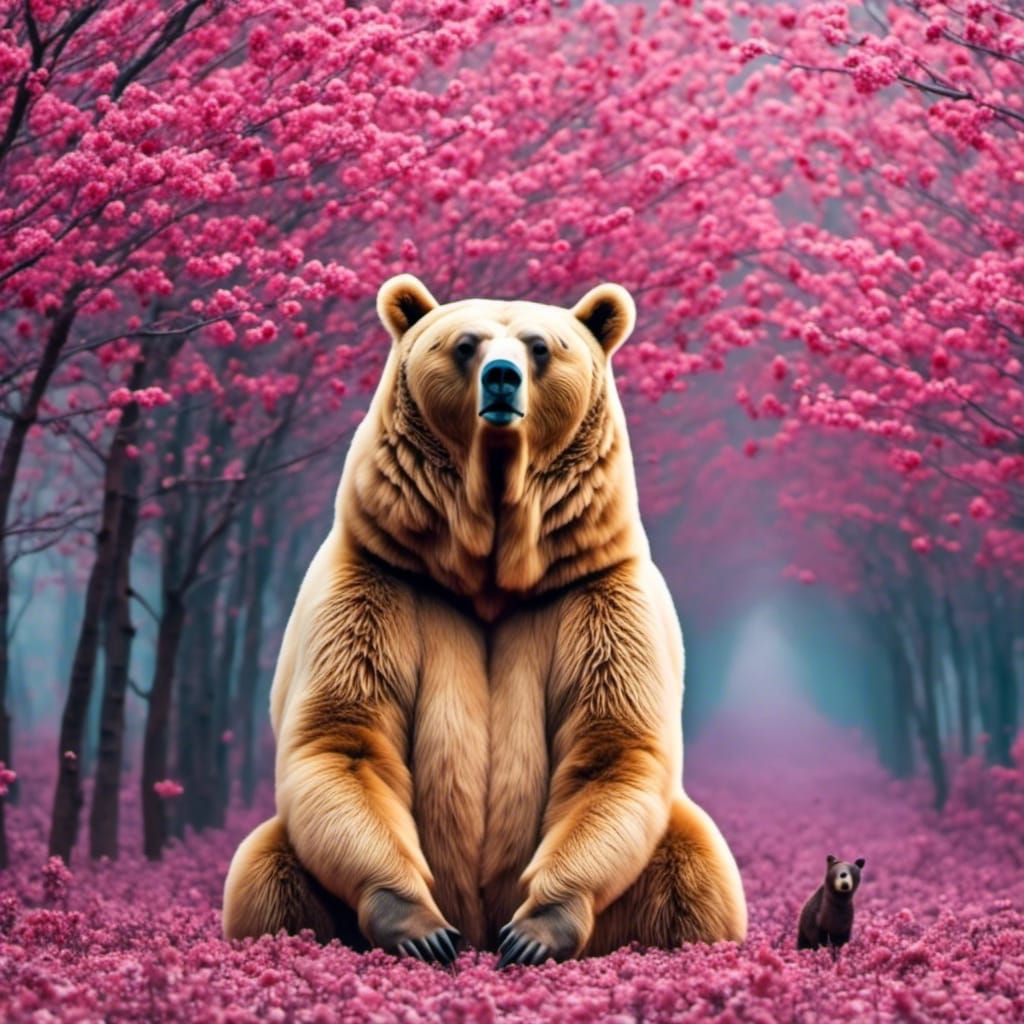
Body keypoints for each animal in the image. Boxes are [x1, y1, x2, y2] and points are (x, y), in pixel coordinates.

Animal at [222, 274, 747, 966]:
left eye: (541, 346)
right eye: (464, 344)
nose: (502, 378)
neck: (492, 568)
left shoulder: (597, 594)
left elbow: (611, 747)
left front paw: (534, 930)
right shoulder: (377, 581)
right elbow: (344, 738)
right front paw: (422, 927)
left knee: (696, 871)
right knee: (266, 872)